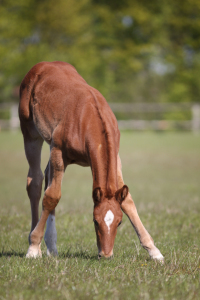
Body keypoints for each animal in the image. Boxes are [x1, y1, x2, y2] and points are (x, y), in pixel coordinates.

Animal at [18, 61, 163, 260]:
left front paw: (154, 251)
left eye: (119, 222)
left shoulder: (116, 157)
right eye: (95, 221)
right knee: (35, 182)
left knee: (47, 176)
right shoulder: (58, 152)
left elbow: (128, 201)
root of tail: (42, 65)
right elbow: (52, 196)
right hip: (31, 134)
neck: (88, 118)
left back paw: (51, 247)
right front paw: (33, 247)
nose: (106, 255)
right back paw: (36, 245)